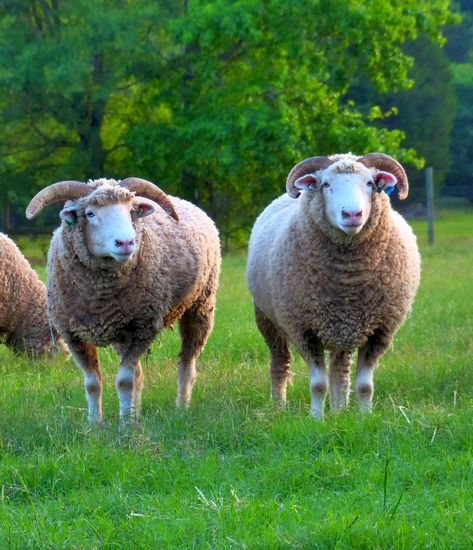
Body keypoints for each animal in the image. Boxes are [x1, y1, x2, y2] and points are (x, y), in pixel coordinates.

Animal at [26, 177, 222, 422]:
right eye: (90, 213)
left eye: (131, 211)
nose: (126, 243)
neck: (98, 298)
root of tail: (186, 202)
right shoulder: (73, 334)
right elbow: (93, 383)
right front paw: (95, 424)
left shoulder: (144, 326)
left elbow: (124, 381)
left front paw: (126, 425)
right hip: (122, 330)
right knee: (139, 373)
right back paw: (135, 412)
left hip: (201, 305)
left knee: (187, 363)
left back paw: (181, 407)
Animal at [245, 153, 418, 420]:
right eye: (326, 185)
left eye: (370, 183)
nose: (352, 214)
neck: (348, 282)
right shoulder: (305, 330)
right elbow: (318, 384)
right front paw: (317, 419)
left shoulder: (380, 331)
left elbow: (365, 385)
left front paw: (365, 419)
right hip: (267, 319)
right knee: (280, 362)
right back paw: (279, 406)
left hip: (344, 330)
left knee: (340, 370)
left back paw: (339, 410)